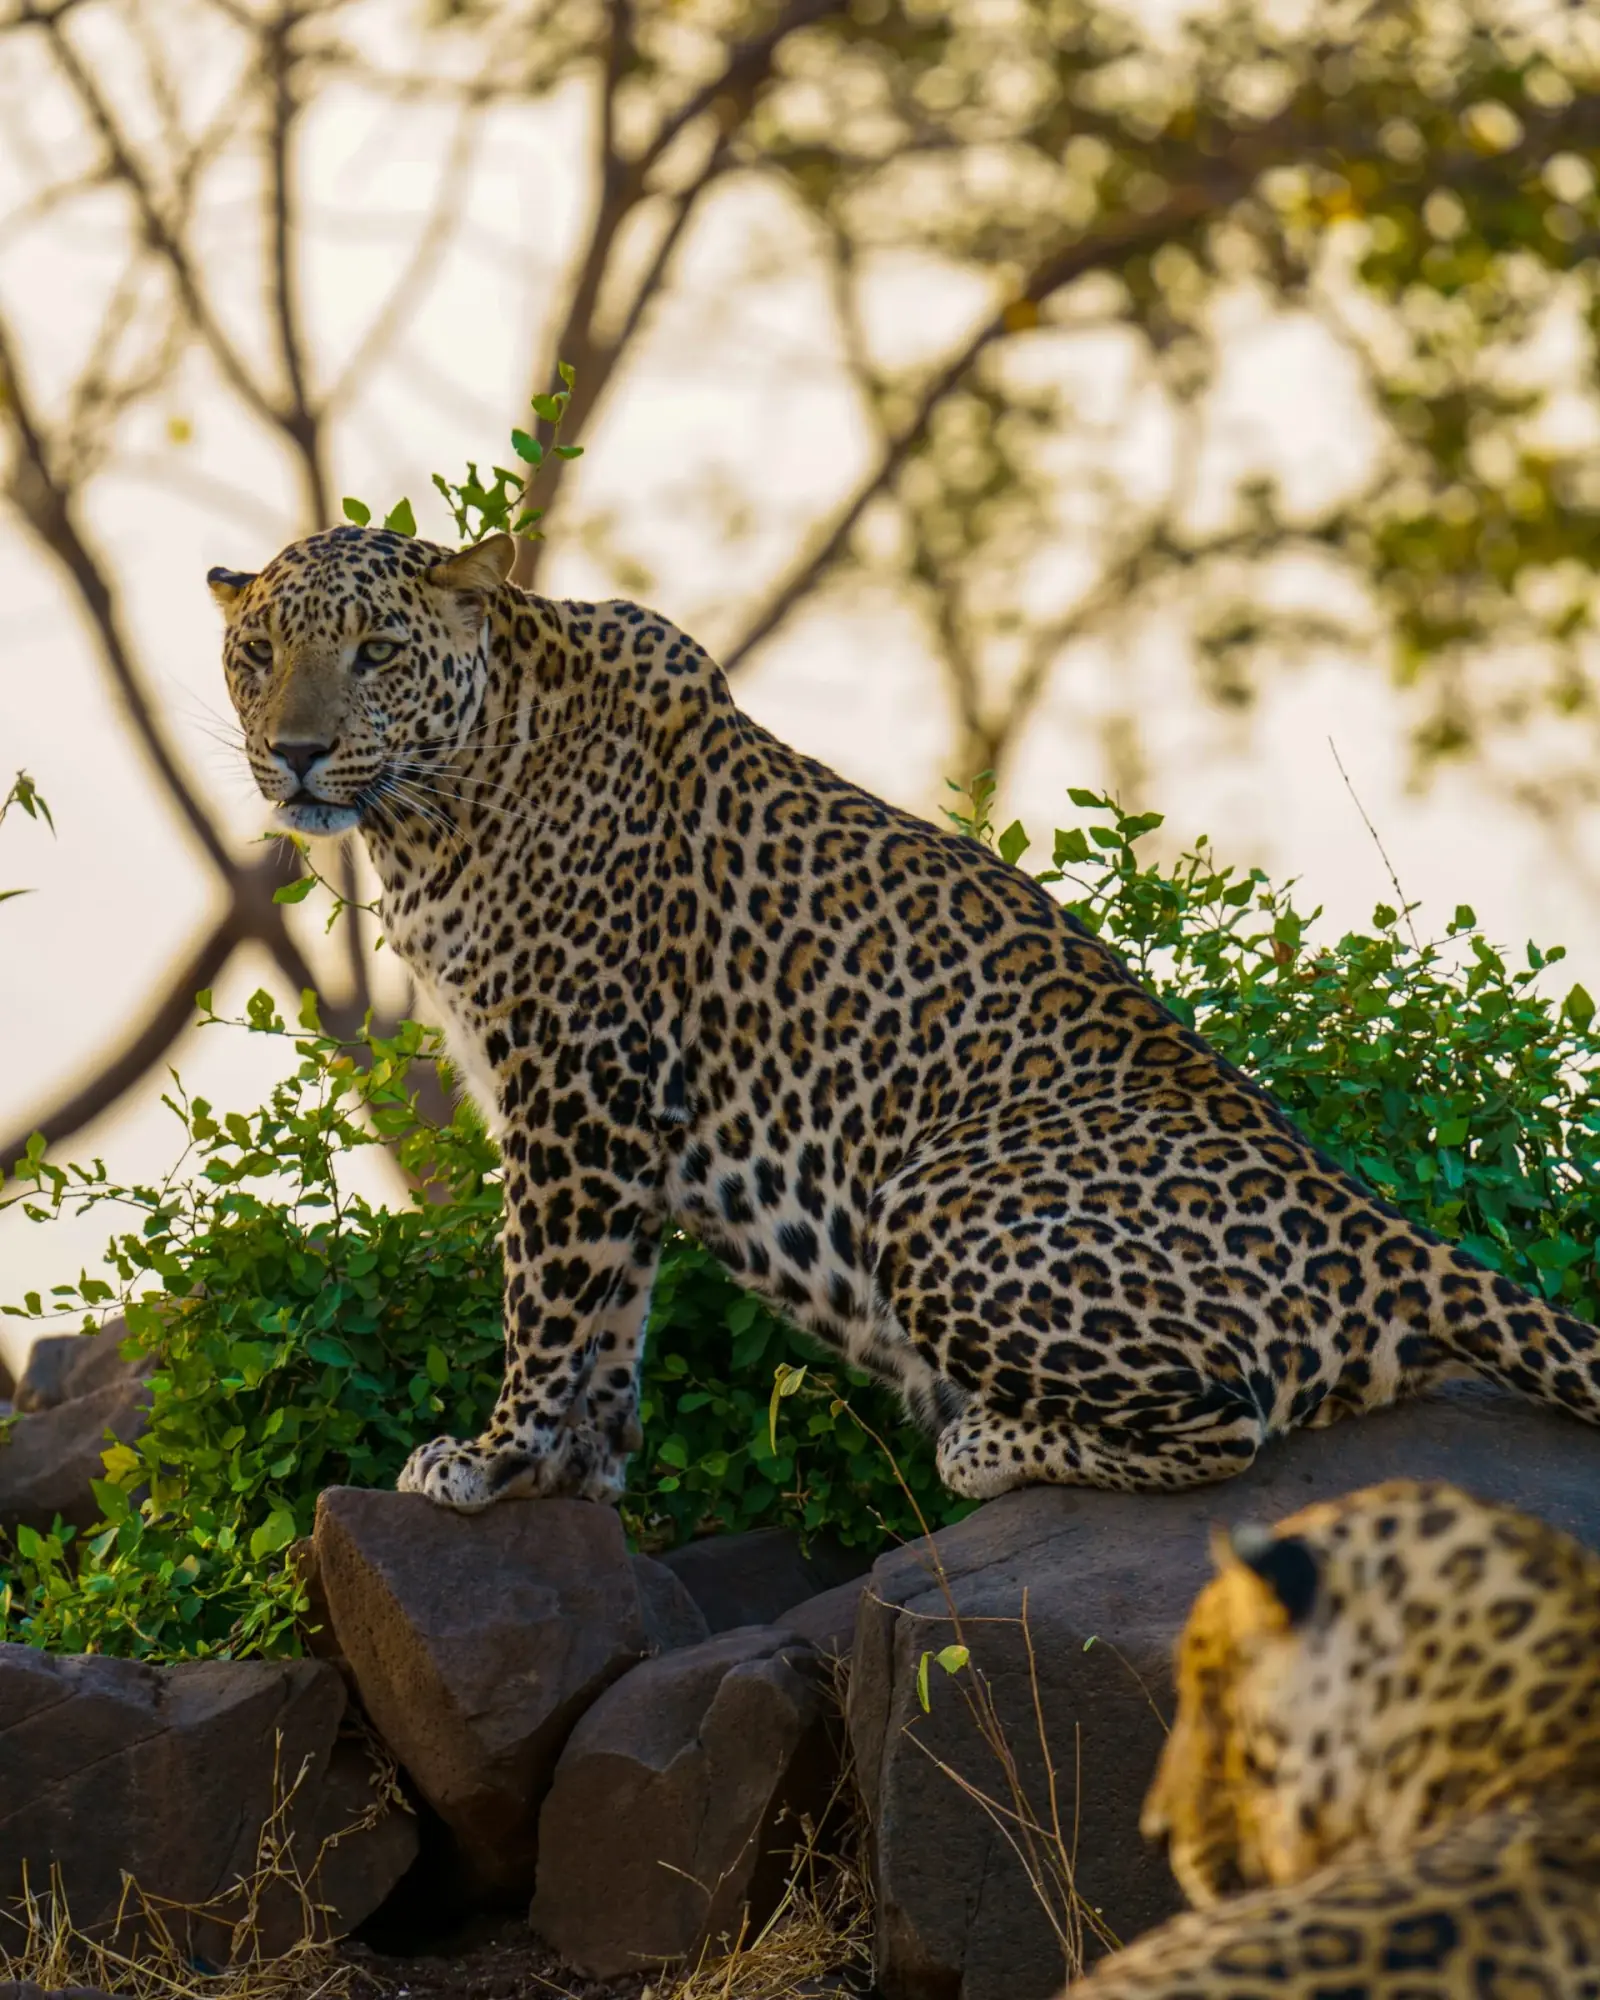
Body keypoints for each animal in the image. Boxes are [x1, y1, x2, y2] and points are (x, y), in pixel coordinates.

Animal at [208, 522, 1600, 1513]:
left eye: (377, 653)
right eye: (255, 655)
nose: (296, 752)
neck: (434, 805)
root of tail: (1387, 1228)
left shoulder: (578, 1084)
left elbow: (545, 1296)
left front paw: (490, 1458)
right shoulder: (606, 1113)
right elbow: (611, 1313)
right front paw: (575, 1473)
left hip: (933, 1207)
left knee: (1236, 1419)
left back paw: (986, 1441)